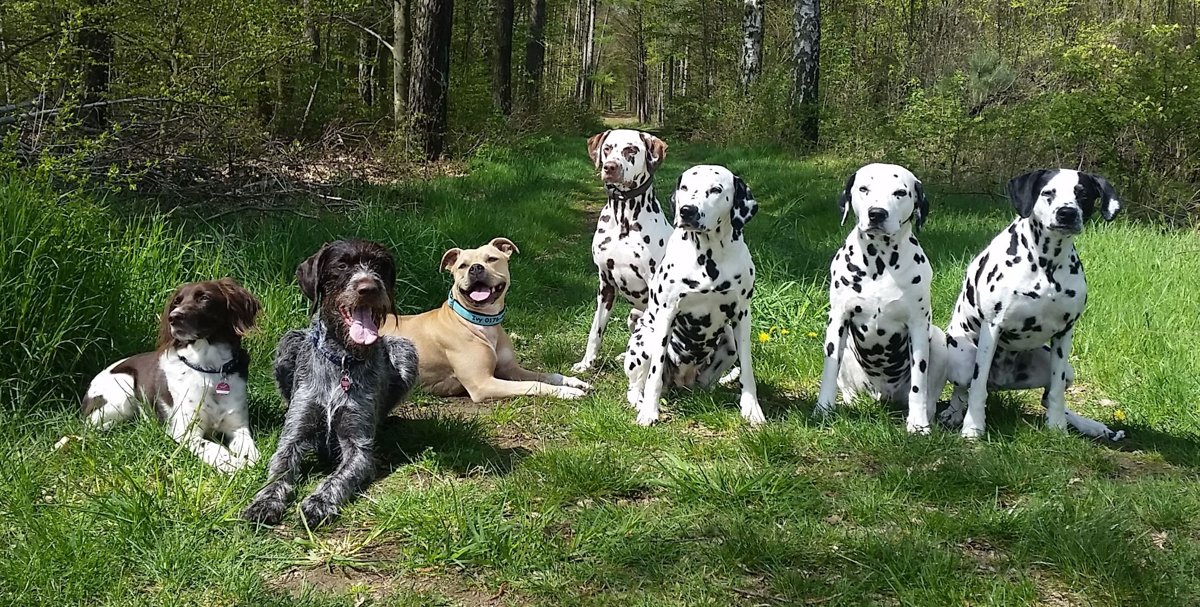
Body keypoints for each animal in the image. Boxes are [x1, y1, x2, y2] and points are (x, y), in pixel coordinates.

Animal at [241, 238, 420, 525]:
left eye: (379, 265)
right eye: (342, 265)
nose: (369, 288)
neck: (342, 360)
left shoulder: (359, 448)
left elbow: (338, 478)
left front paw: (319, 502)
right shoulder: (292, 437)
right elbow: (279, 472)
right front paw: (264, 502)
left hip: (404, 349)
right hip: (288, 341)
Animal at [381, 237, 592, 403]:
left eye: (491, 259)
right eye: (462, 265)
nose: (475, 268)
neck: (481, 321)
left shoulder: (511, 369)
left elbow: (546, 375)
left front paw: (573, 381)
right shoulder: (483, 383)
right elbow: (534, 384)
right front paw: (566, 392)